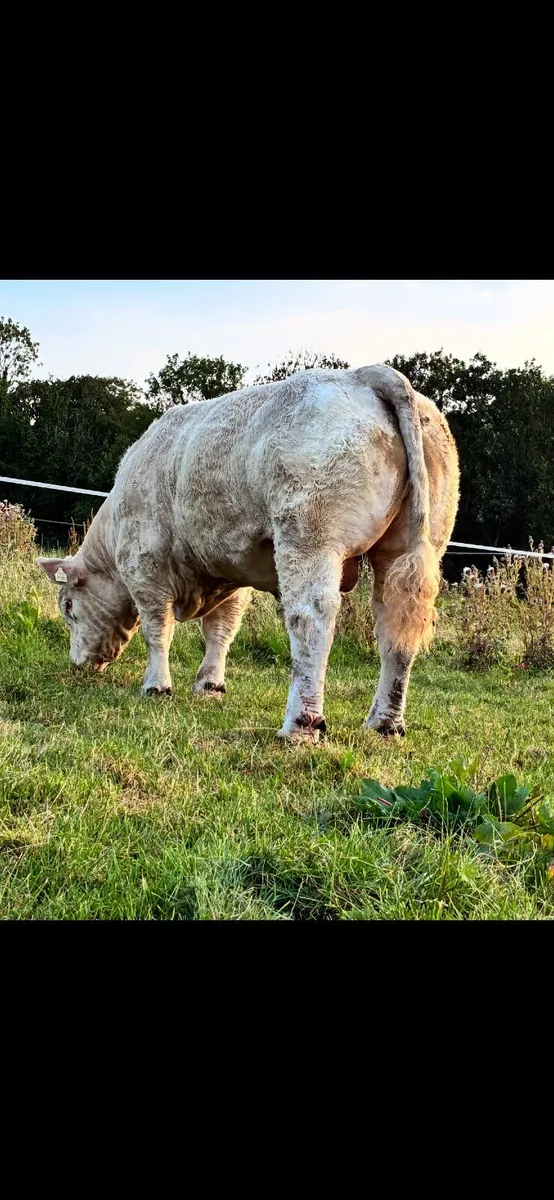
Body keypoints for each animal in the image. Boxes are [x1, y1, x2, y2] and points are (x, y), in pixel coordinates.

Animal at [37, 365, 459, 741]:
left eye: (69, 607)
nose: (78, 665)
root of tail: (367, 374)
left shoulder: (145, 566)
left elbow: (158, 630)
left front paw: (157, 686)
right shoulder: (229, 572)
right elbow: (221, 630)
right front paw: (209, 685)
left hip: (310, 537)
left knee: (311, 621)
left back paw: (300, 726)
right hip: (408, 549)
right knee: (396, 628)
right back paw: (384, 724)